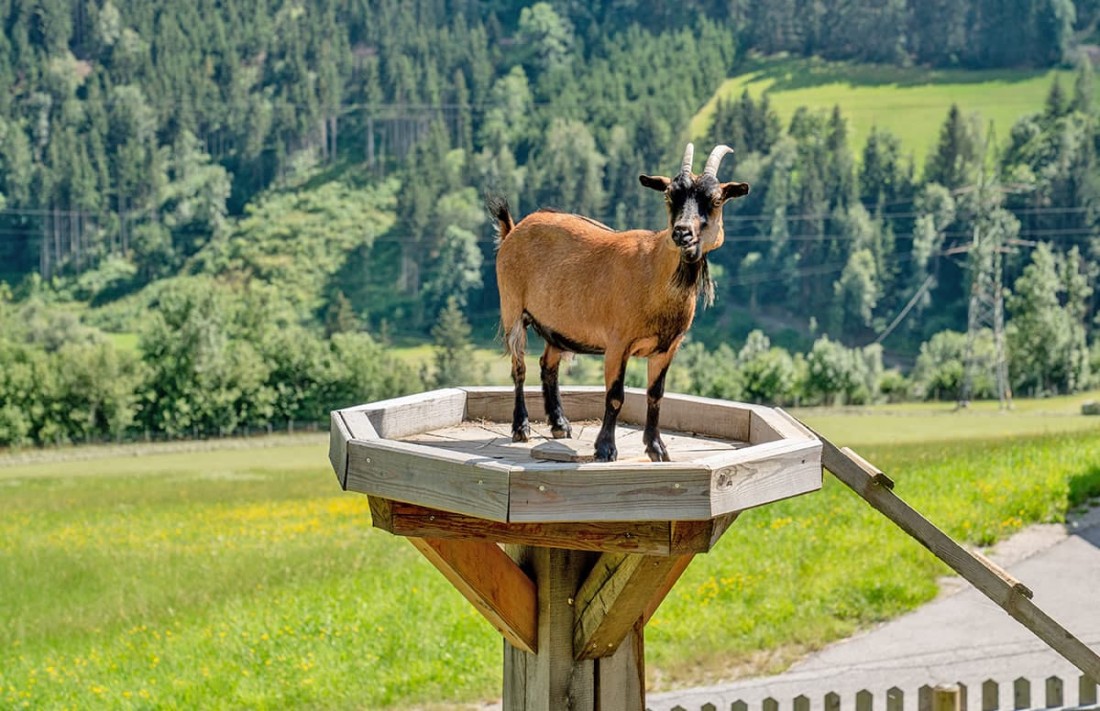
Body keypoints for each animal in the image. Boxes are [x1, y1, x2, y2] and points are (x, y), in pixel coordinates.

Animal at [489, 143, 749, 462]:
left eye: (715, 199)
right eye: (669, 195)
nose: (681, 233)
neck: (655, 272)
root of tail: (513, 230)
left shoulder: (667, 347)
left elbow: (655, 395)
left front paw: (656, 448)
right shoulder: (617, 344)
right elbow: (614, 396)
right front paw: (605, 449)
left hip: (557, 325)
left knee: (547, 364)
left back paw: (560, 424)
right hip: (512, 307)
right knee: (519, 368)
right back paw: (521, 427)